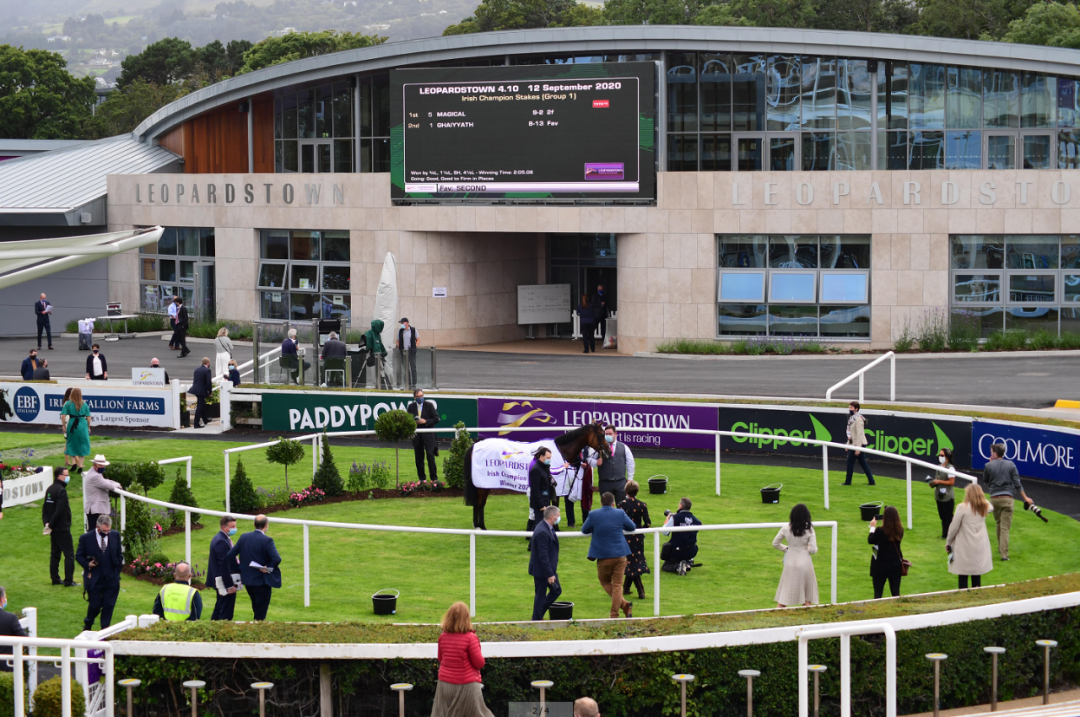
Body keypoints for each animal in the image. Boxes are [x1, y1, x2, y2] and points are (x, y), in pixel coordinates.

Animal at [464, 423, 613, 529]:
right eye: (601, 434)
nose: (608, 451)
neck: (561, 450)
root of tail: (475, 445)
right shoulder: (555, 485)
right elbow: (555, 505)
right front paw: (555, 527)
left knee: (481, 503)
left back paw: (480, 526)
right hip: (483, 483)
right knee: (479, 503)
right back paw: (479, 527)